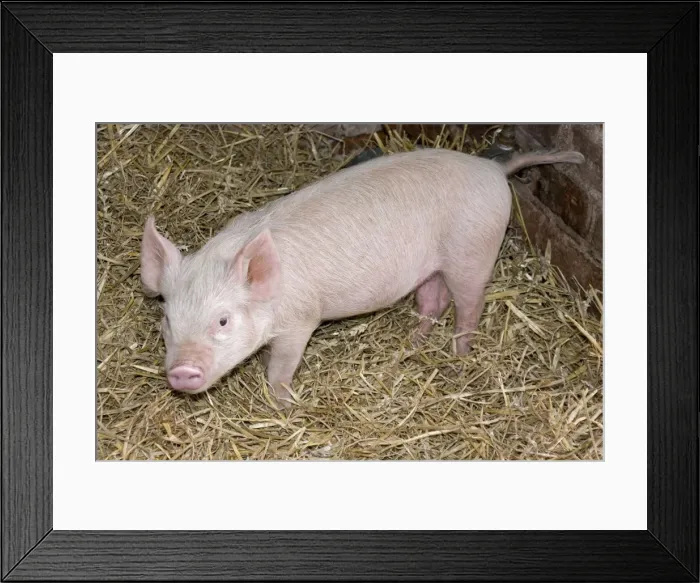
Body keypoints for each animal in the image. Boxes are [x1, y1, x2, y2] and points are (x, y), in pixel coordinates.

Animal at [140, 147, 584, 409]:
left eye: (222, 320)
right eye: (167, 321)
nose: (181, 372)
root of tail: (494, 167)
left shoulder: (301, 320)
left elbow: (279, 370)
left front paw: (284, 405)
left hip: (473, 253)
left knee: (470, 306)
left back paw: (459, 356)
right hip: (433, 264)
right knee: (433, 300)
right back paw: (412, 344)